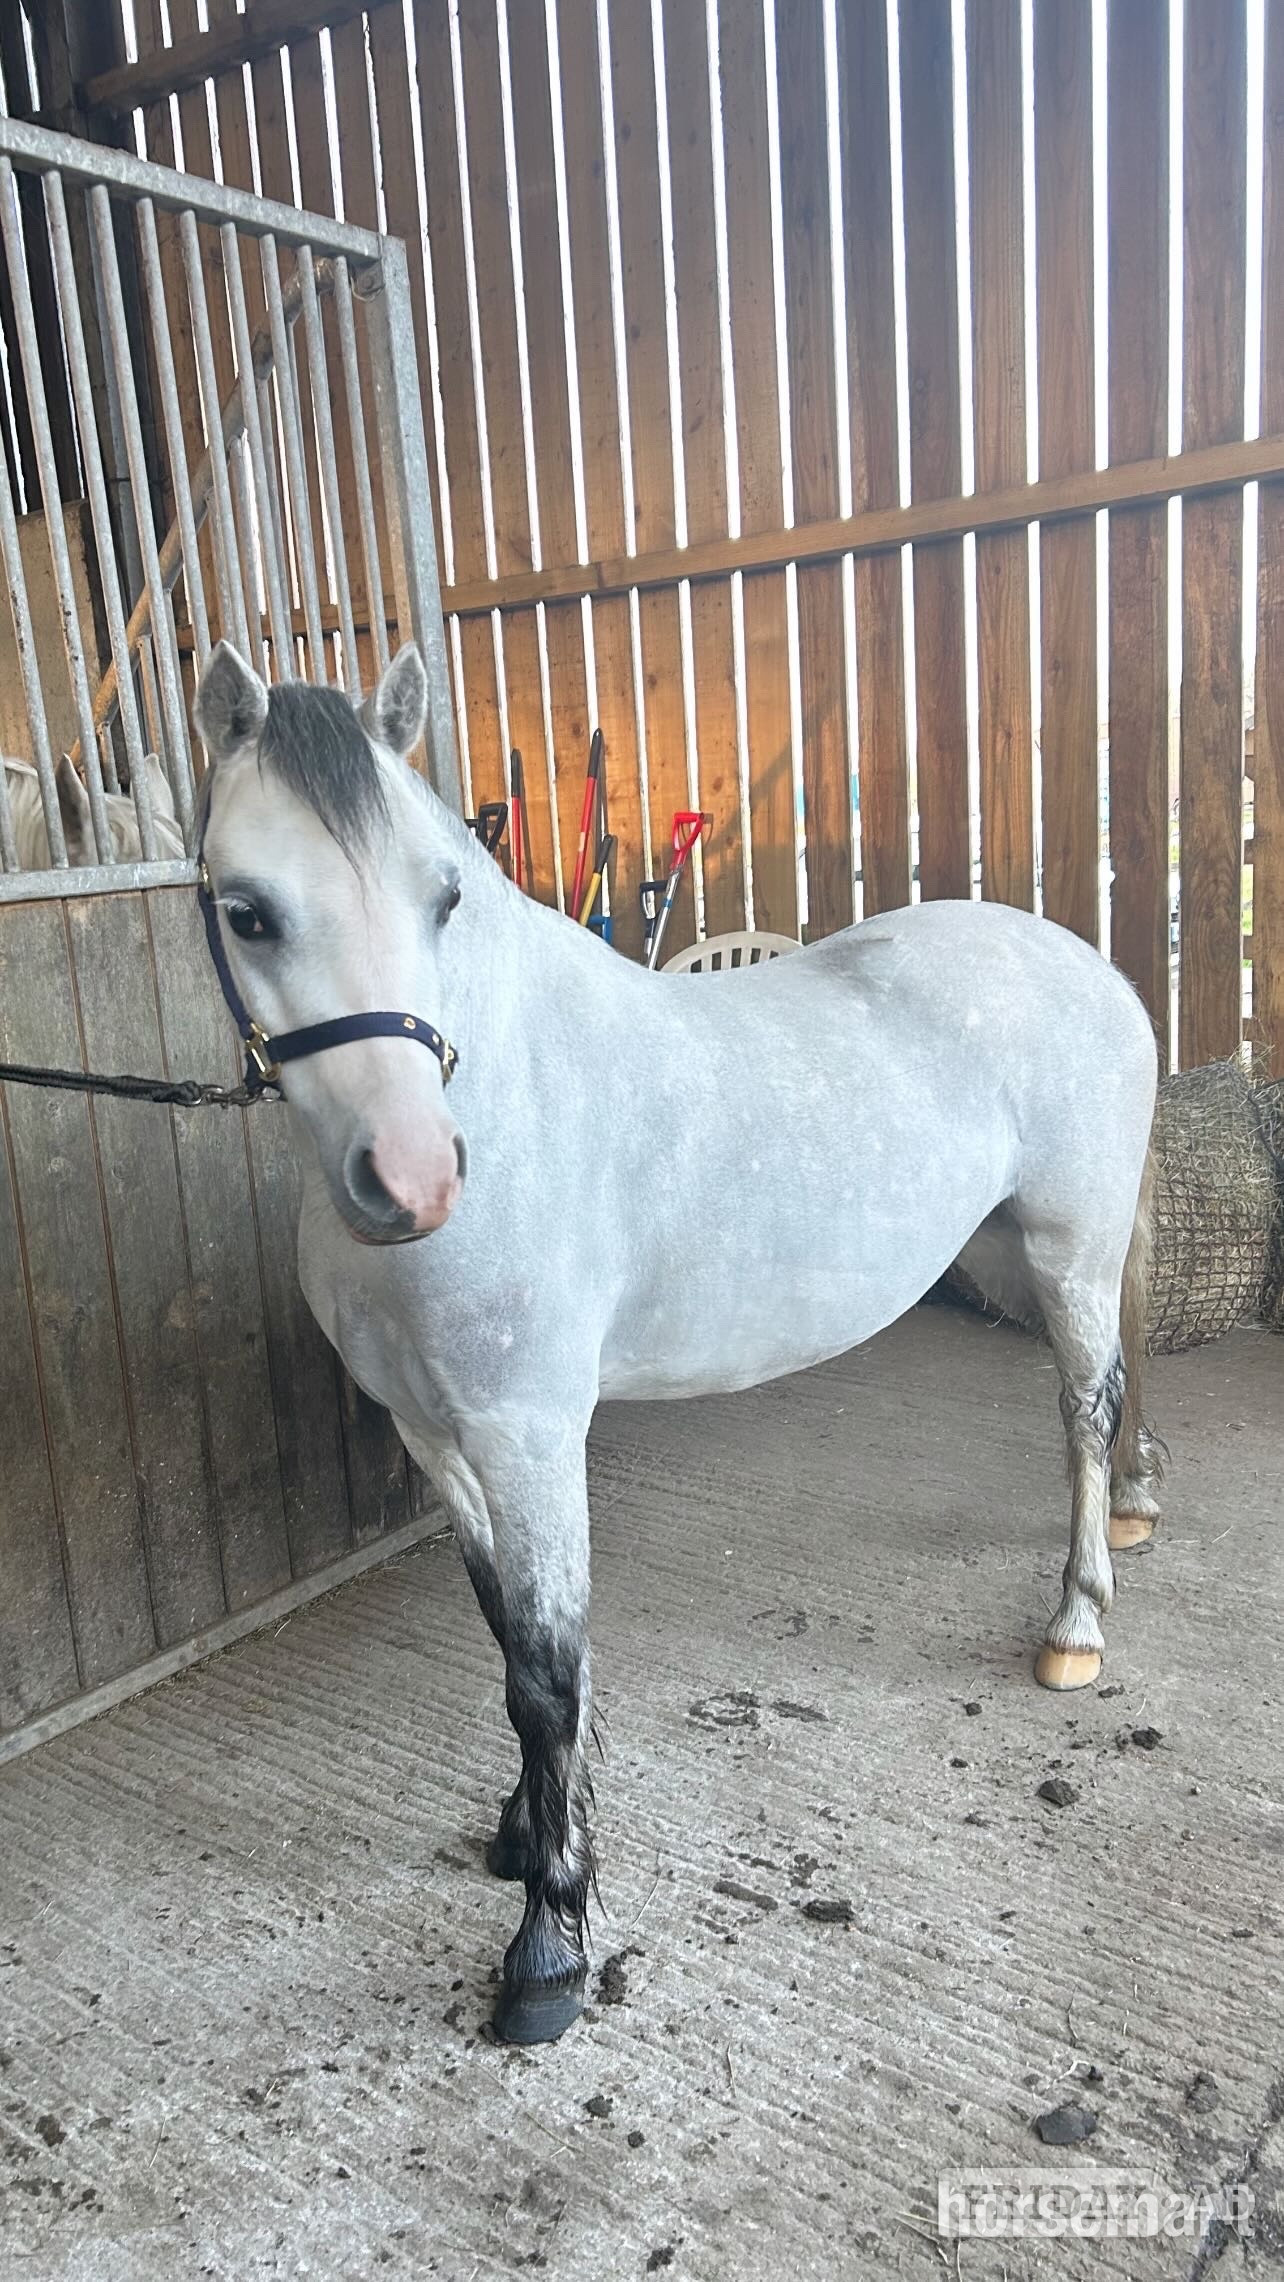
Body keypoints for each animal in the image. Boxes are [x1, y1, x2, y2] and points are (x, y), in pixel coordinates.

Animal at [193, 638, 1162, 2046]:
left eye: (444, 894)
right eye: (247, 909)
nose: (413, 1179)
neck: (513, 1095)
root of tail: (1090, 964)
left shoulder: (531, 1437)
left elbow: (548, 1672)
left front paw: (549, 1942)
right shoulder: (441, 1440)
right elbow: (508, 1639)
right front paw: (525, 1831)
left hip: (1066, 1250)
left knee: (1084, 1411)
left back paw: (1079, 1619)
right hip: (1013, 1251)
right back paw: (1137, 1515)